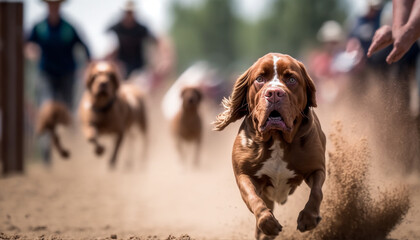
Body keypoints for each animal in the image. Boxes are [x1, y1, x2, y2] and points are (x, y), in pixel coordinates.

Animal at [215, 53, 326, 240]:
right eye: (260, 79)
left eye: (291, 79)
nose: (274, 93)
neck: (277, 138)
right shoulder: (244, 174)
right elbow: (253, 198)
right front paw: (267, 223)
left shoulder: (316, 167)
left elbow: (317, 192)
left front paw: (309, 218)